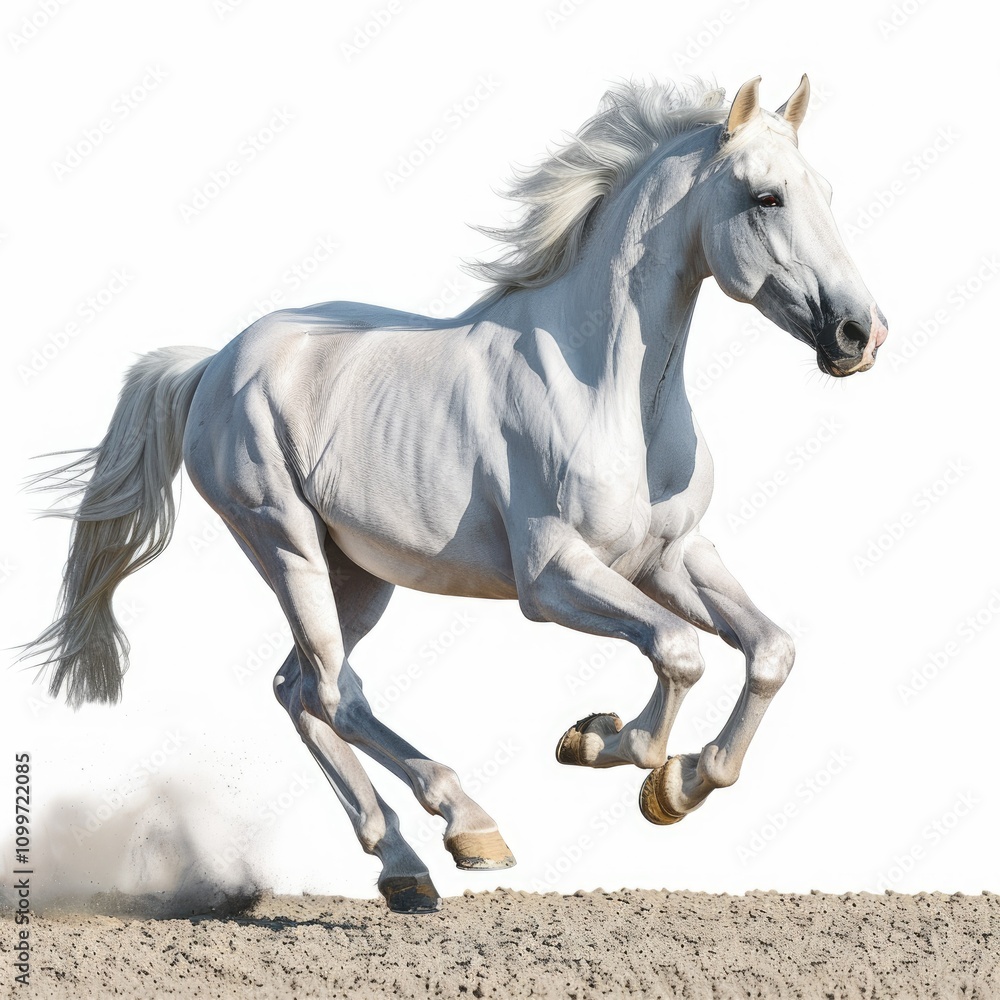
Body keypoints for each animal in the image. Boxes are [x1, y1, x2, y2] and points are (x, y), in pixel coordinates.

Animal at [25, 75, 887, 913]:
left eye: (825, 190)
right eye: (766, 197)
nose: (860, 333)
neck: (610, 393)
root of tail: (212, 363)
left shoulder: (668, 557)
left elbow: (769, 651)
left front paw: (678, 785)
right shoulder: (553, 577)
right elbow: (679, 654)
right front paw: (601, 743)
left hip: (357, 574)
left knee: (298, 689)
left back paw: (404, 869)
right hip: (282, 540)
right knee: (336, 691)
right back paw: (470, 827)